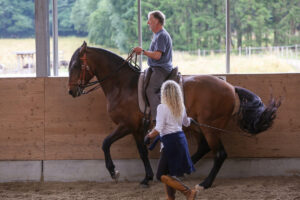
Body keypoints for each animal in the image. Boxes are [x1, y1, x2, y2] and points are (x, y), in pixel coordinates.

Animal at [68, 41, 282, 188]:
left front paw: (114, 172)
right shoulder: (137, 129)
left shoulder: (127, 125)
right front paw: (147, 177)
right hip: (196, 125)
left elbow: (106, 143)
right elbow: (142, 151)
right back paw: (179, 172)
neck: (123, 85)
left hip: (209, 127)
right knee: (204, 147)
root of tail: (229, 87)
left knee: (220, 154)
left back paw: (205, 183)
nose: (71, 91)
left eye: (76, 65)